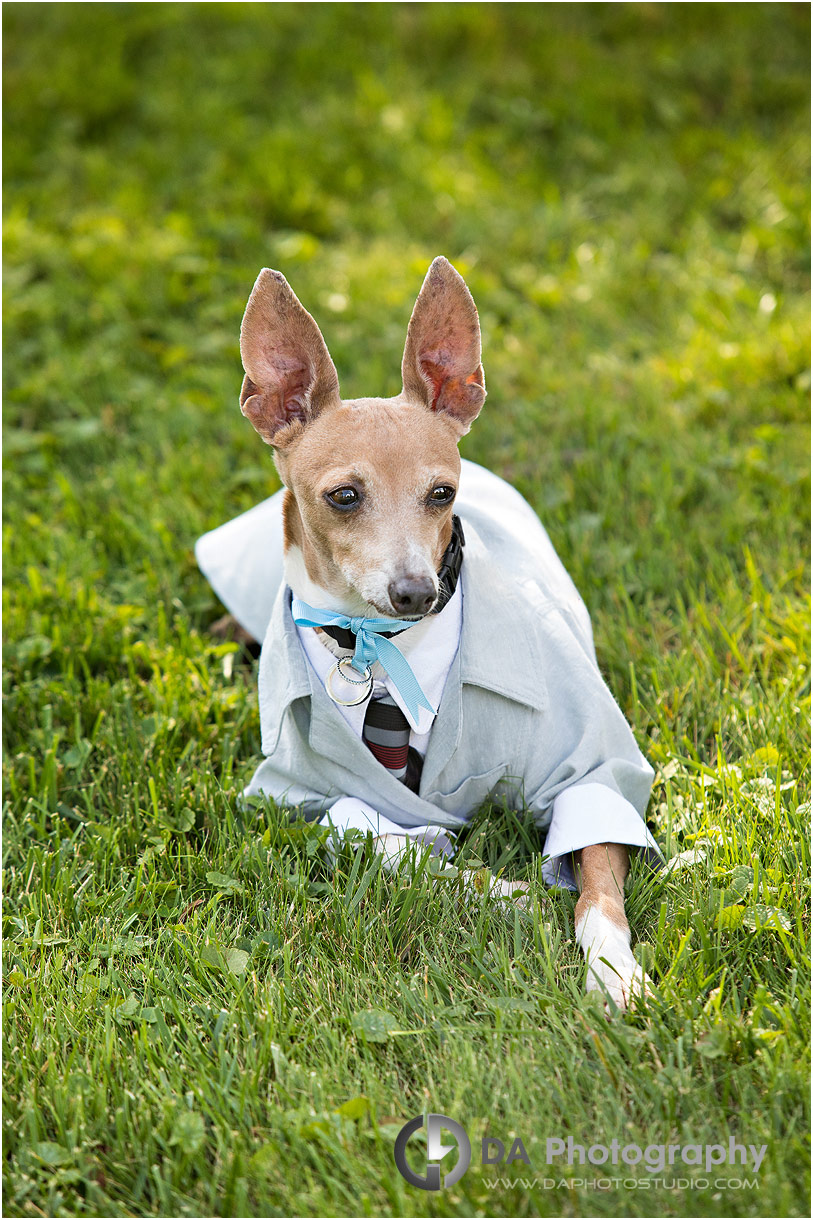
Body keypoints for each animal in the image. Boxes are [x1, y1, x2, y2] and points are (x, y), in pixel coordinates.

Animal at [195, 257, 659, 1010]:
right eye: (343, 496)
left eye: (441, 493)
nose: (416, 592)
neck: (384, 650)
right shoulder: (287, 798)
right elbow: (370, 829)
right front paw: (493, 887)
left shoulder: (592, 770)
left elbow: (596, 879)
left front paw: (613, 968)